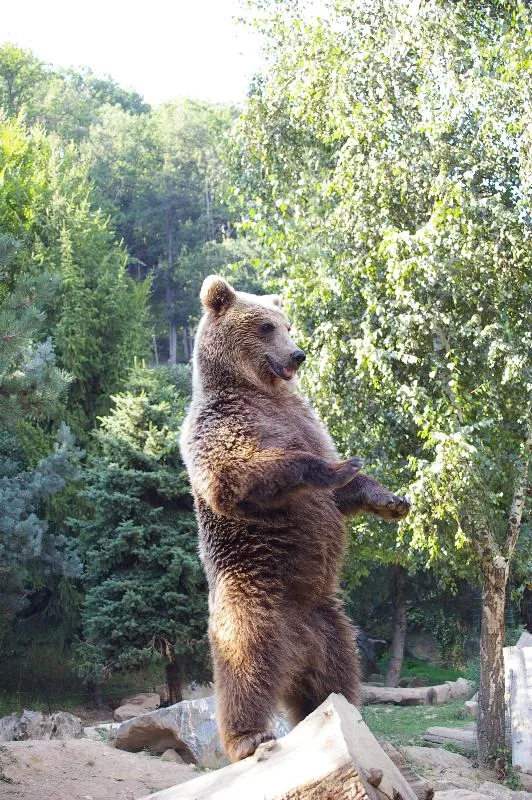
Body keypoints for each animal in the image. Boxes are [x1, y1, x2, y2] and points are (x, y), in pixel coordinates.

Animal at [181, 276, 410, 764]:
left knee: (337, 676)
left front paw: (391, 500)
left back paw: (340, 712)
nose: (298, 354)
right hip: (252, 600)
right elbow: (242, 471)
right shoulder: (222, 427)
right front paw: (338, 467)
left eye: (288, 325)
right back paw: (249, 737)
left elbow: (344, 495)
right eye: (266, 327)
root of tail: (295, 645)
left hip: (332, 626)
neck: (260, 390)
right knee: (244, 665)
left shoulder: (306, 419)